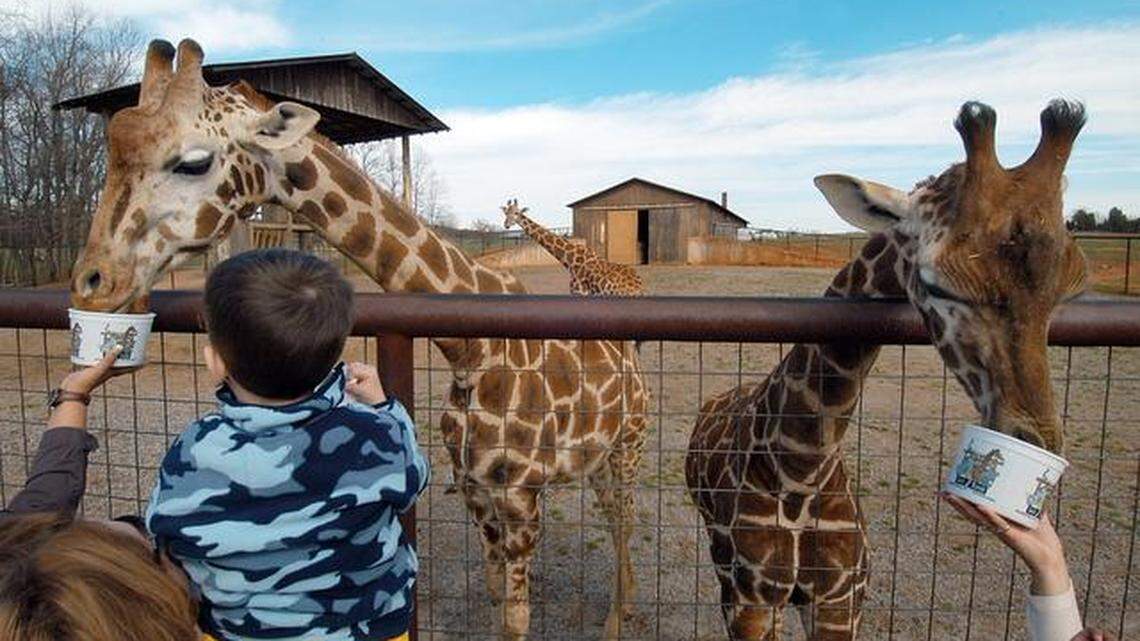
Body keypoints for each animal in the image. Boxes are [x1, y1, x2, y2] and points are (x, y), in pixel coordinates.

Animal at [501, 199, 646, 296]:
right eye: (506, 213)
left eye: (517, 213)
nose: (506, 225)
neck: (570, 260)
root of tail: (638, 288)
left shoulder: (579, 292)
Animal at [685, 99, 1088, 640]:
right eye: (936, 284)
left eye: (1066, 292)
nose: (1035, 439)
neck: (800, 471)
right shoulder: (750, 600)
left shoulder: (841, 599)